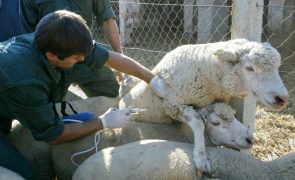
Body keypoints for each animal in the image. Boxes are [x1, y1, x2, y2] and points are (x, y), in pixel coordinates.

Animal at [119, 39, 290, 173]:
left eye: (277, 68)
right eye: (249, 68)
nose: (282, 98)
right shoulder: (172, 104)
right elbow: (199, 124)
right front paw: (201, 159)